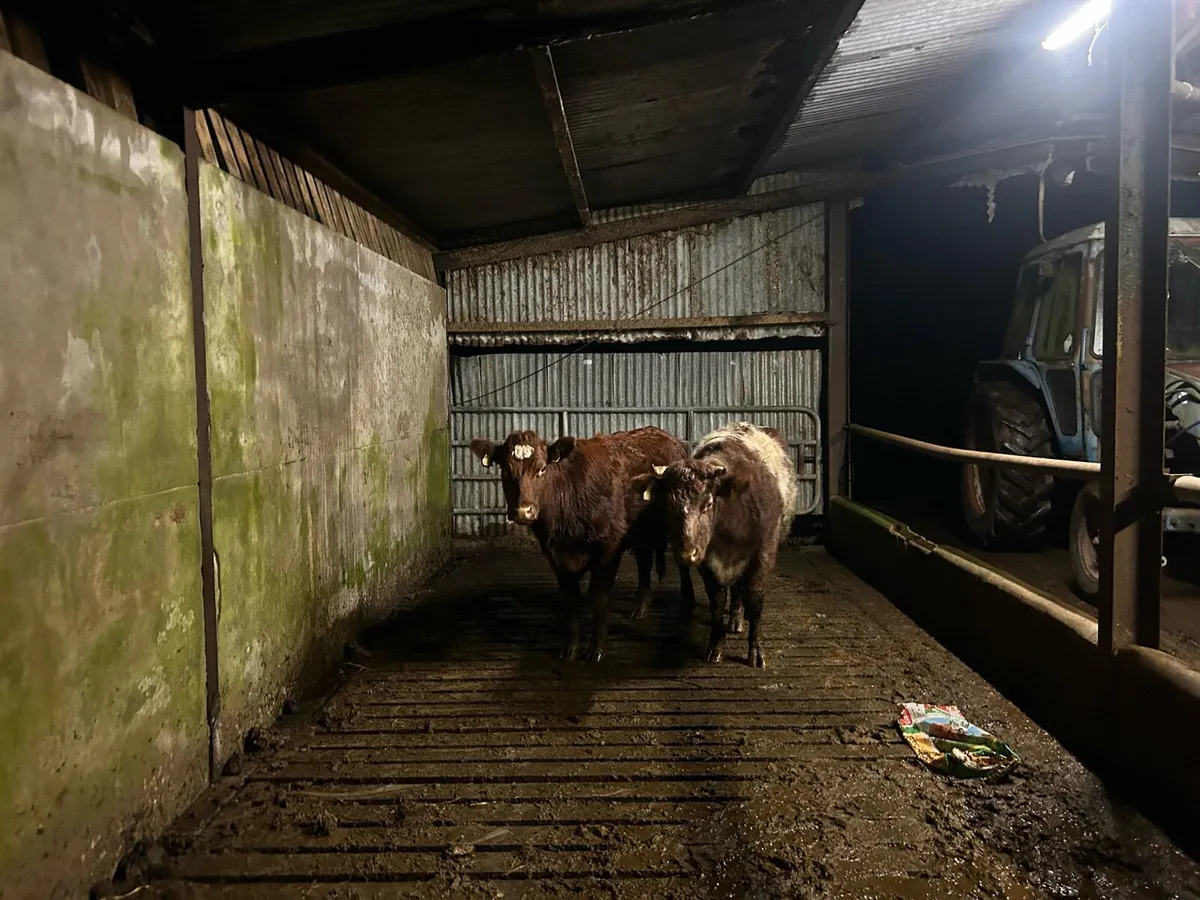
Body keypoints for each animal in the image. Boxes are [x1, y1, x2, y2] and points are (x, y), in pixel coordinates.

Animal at [470, 426, 695, 662]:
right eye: (505, 470)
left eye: (542, 469)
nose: (524, 511)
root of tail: (663, 435)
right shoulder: (555, 554)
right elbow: (570, 600)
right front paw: (569, 648)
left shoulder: (608, 549)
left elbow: (598, 597)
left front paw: (596, 649)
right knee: (644, 561)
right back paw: (641, 607)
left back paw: (688, 603)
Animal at [634, 423, 798, 668]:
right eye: (668, 505)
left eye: (708, 503)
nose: (686, 553)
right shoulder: (707, 561)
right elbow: (717, 601)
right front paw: (715, 646)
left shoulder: (762, 554)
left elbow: (754, 601)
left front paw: (756, 651)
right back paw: (735, 619)